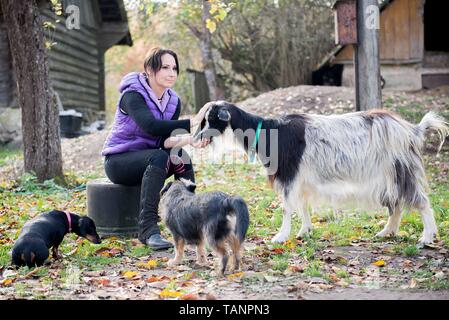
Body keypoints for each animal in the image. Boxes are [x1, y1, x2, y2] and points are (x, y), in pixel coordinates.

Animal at [195, 102, 448, 245]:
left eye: (212, 118)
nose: (197, 137)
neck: (269, 131)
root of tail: (413, 130)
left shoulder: (289, 176)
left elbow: (287, 207)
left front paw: (280, 237)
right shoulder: (301, 179)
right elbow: (302, 205)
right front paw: (304, 231)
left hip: (400, 168)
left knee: (420, 200)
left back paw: (427, 237)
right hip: (387, 175)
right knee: (396, 204)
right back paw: (387, 232)